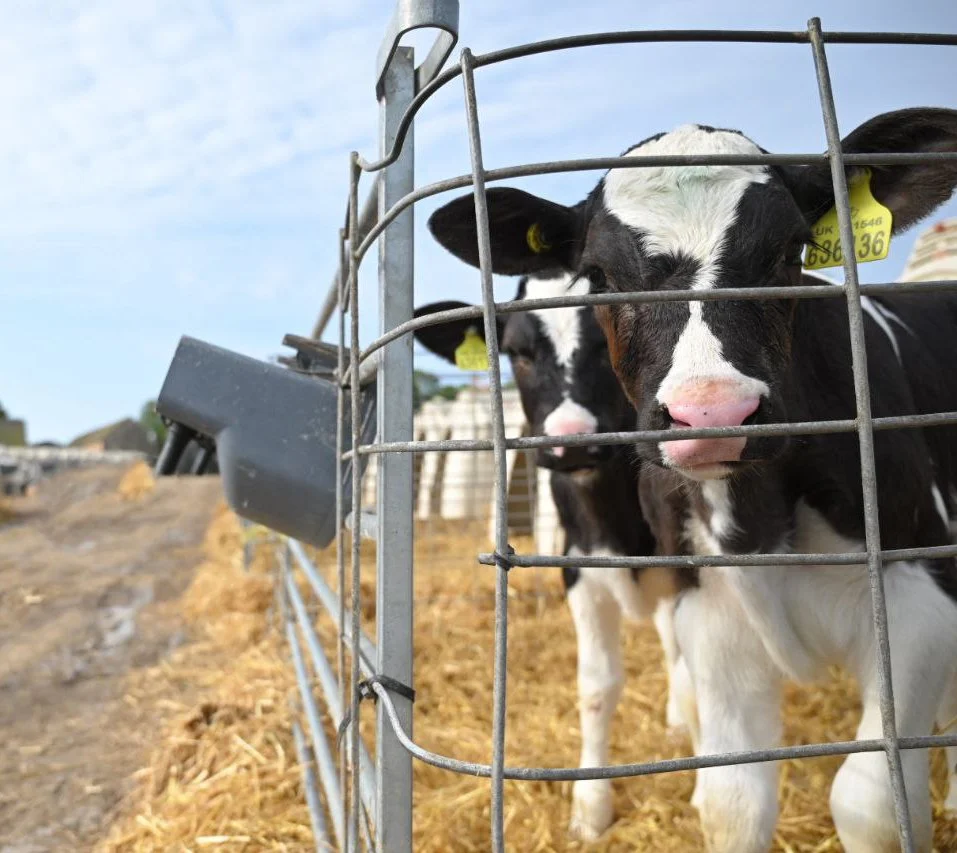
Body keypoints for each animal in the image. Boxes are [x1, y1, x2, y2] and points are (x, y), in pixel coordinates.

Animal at [413, 270, 692, 839]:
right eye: (518, 351)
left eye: (610, 338)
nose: (572, 443)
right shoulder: (577, 569)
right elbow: (597, 686)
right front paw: (591, 809)